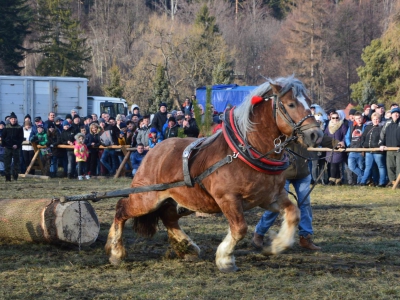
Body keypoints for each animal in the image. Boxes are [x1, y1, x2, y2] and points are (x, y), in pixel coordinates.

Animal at [104, 75, 324, 272]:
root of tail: (153, 150)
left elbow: (294, 213)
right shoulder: (227, 198)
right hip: (147, 198)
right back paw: (116, 252)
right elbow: (240, 228)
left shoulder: (270, 197)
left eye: (310, 102)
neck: (244, 151)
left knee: (169, 218)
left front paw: (276, 245)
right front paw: (225, 259)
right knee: (121, 207)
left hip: (181, 199)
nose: (316, 134)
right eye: (291, 104)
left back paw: (187, 248)